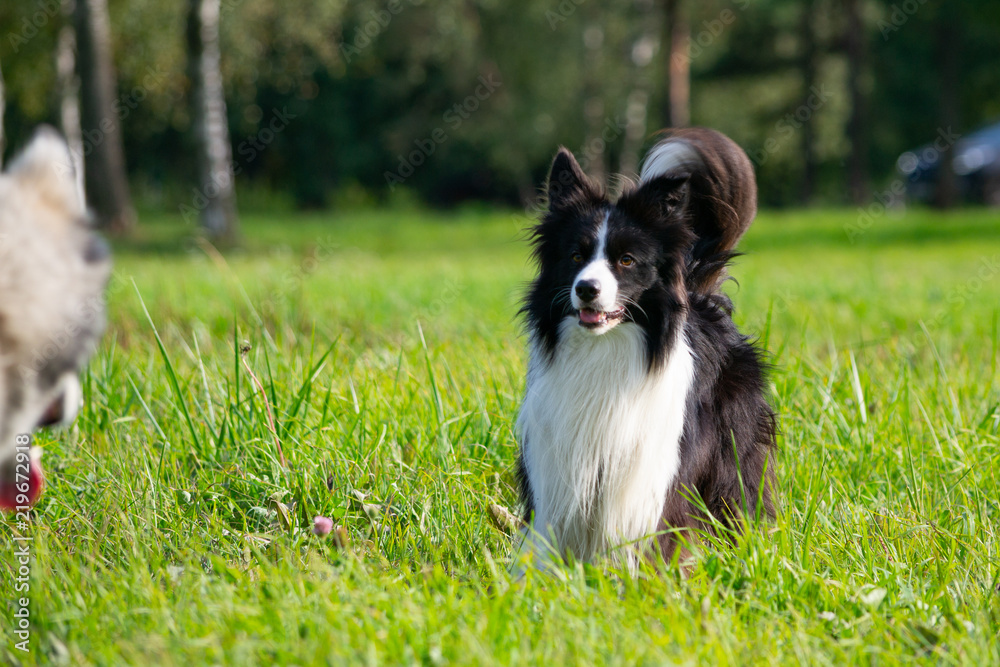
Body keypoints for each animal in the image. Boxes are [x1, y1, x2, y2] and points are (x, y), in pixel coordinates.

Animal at [516, 130, 780, 576]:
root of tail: (700, 298)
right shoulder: (557, 466)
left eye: (626, 260)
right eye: (576, 256)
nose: (586, 288)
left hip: (732, 452)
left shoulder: (645, 472)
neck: (604, 349)